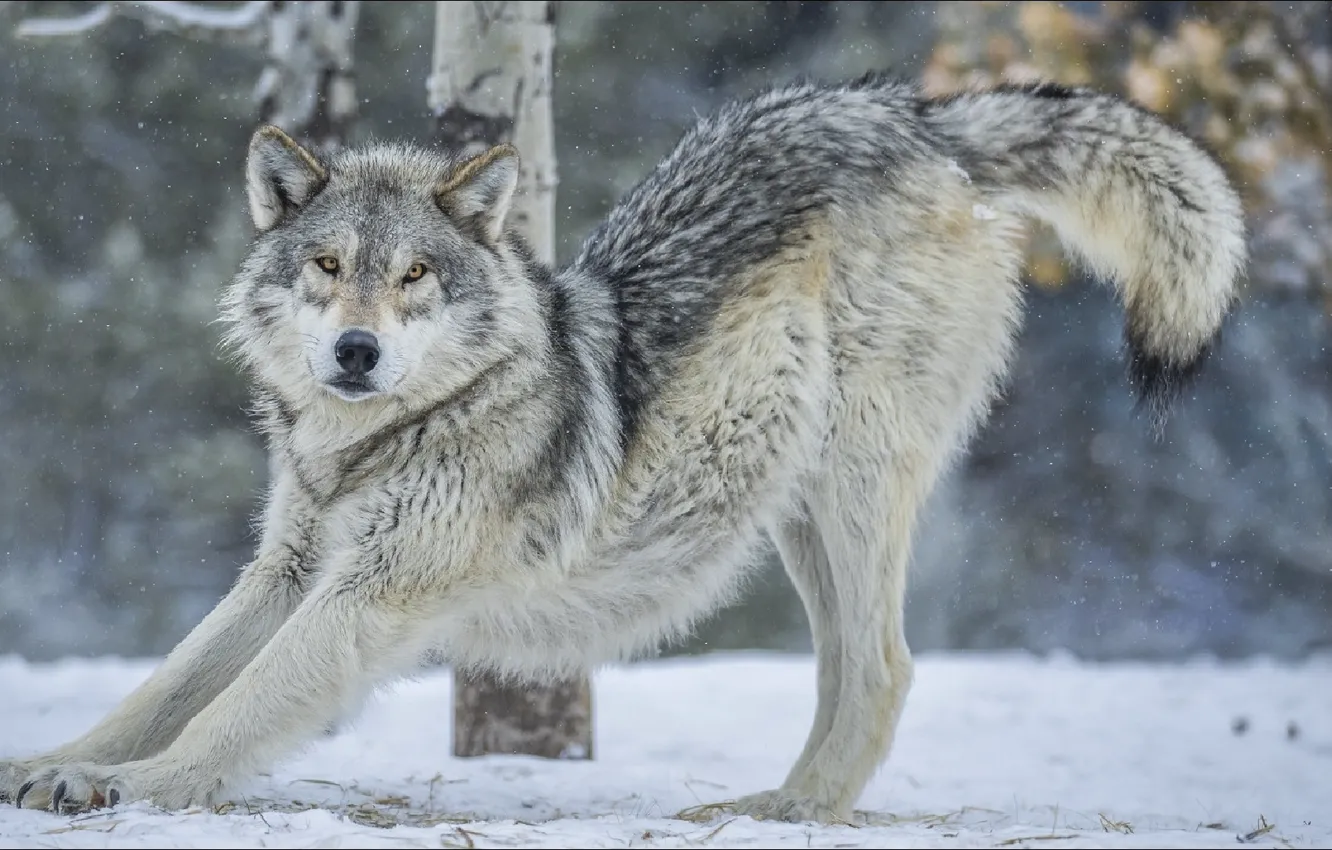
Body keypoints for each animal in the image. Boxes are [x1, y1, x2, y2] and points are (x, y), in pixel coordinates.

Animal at [0, 75, 1244, 822]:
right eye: (328, 265)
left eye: (415, 276)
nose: (355, 351)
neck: (379, 437)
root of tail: (920, 116)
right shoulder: (289, 570)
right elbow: (169, 680)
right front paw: (52, 761)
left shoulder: (372, 590)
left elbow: (230, 711)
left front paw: (129, 785)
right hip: (793, 509)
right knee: (848, 667)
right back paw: (768, 810)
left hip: (846, 485)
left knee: (883, 668)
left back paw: (782, 817)